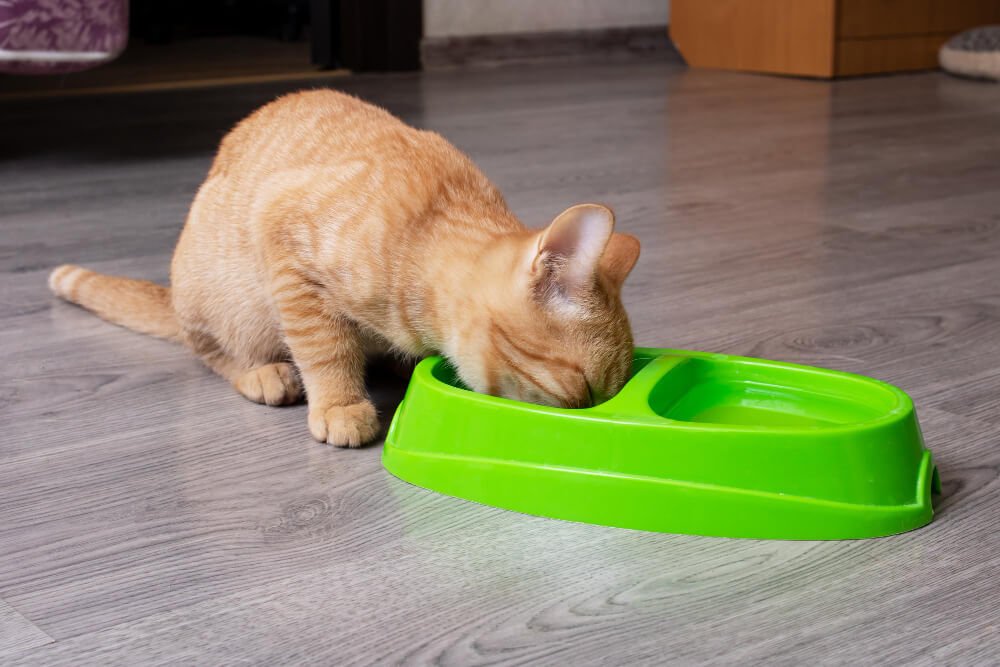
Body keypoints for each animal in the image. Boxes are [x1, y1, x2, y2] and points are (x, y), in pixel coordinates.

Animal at [48, 87, 640, 444]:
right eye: (585, 392)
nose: (595, 416)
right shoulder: (285, 240)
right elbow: (323, 347)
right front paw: (339, 404)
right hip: (226, 302)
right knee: (211, 352)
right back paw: (261, 372)